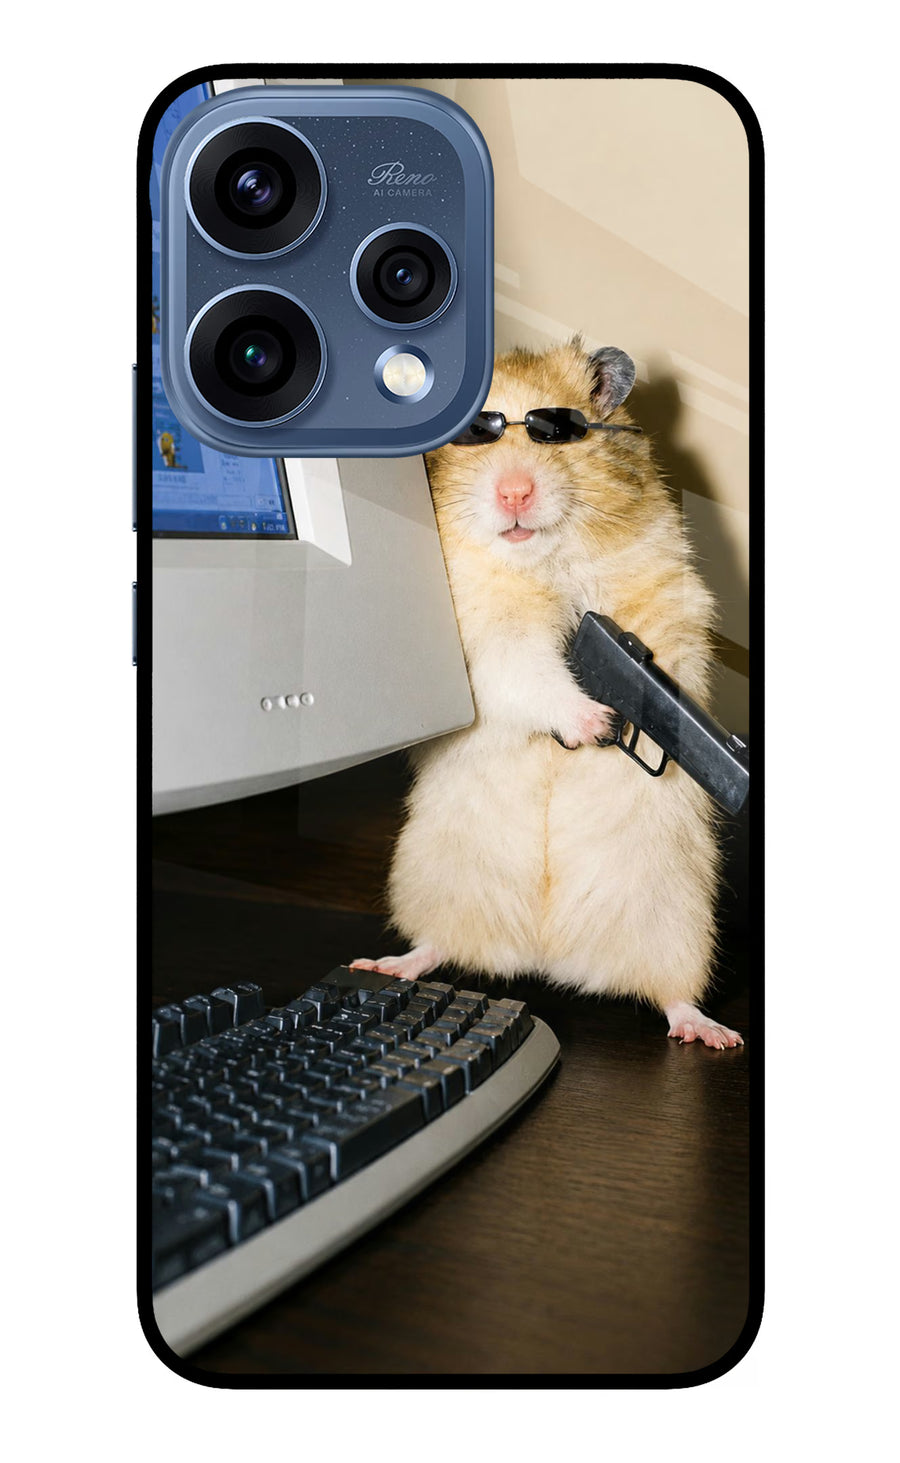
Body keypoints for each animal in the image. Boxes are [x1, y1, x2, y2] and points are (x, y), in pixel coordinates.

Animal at [352, 339, 742, 1049]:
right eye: (472, 435)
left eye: (558, 431)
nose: (514, 491)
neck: (541, 560)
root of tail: (545, 954)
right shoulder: (486, 639)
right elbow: (529, 671)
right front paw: (595, 723)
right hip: (434, 879)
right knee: (437, 945)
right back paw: (386, 964)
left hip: (675, 919)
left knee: (672, 993)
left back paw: (712, 1033)